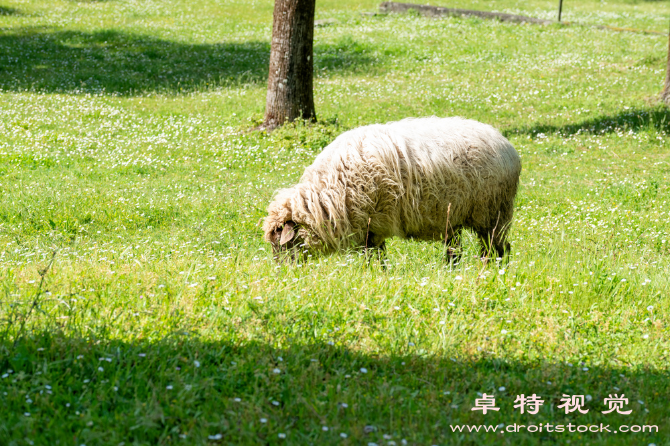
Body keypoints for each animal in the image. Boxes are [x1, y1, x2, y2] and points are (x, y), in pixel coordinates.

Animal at [264, 116, 524, 262]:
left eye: (282, 244)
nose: (282, 272)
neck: (325, 197)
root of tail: (506, 144)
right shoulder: (372, 228)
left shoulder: (371, 224)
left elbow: (374, 259)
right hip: (456, 215)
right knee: (456, 251)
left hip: (493, 212)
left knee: (498, 249)